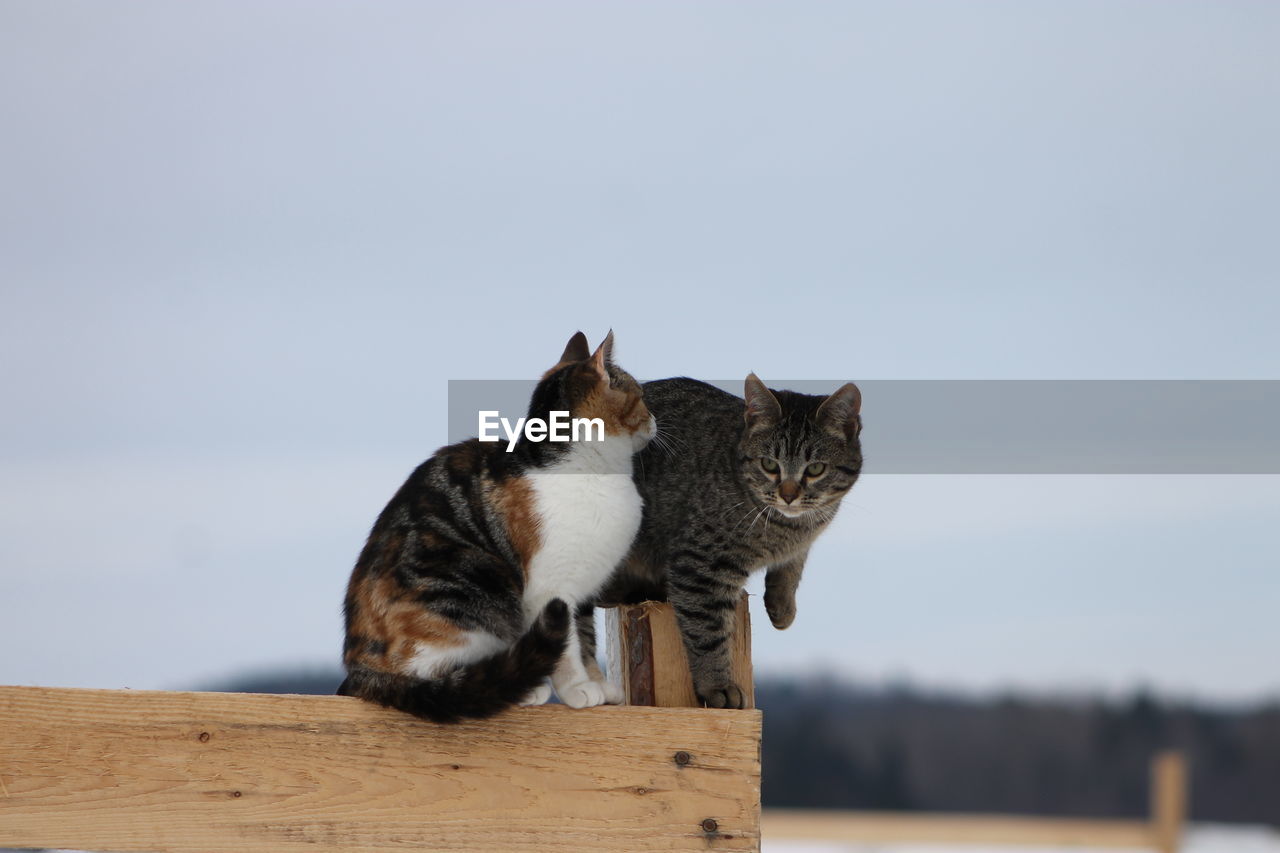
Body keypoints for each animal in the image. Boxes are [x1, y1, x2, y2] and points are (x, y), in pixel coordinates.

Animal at [340, 330, 655, 717]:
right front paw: (577, 688)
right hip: (473, 588)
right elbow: (567, 647)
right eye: (641, 396)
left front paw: (597, 684)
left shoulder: (582, 590)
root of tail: (361, 671)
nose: (654, 419)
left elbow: (585, 640)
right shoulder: (551, 589)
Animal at [586, 371, 860, 701]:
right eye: (769, 464)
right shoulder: (700, 565)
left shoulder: (802, 538)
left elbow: (793, 566)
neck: (785, 528)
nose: (788, 495)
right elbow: (707, 629)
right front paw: (716, 684)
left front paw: (783, 603)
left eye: (816, 469)